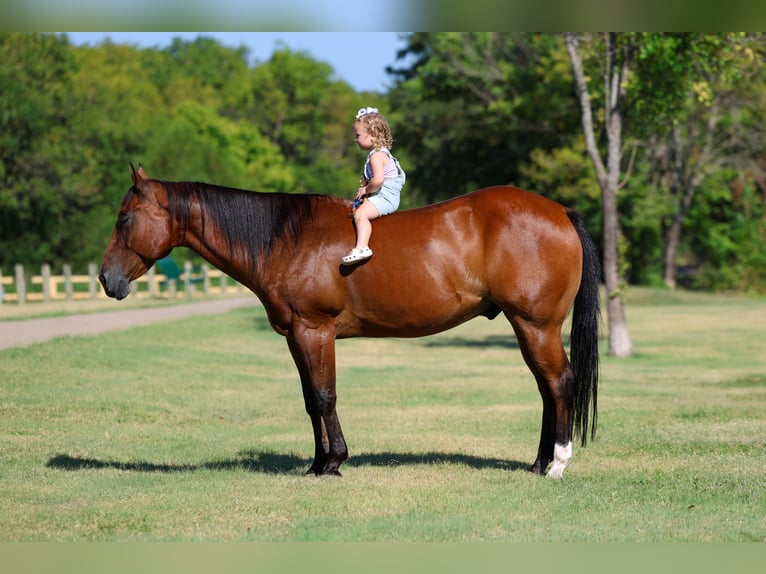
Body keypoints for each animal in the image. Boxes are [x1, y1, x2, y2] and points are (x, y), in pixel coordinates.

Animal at [99, 164, 600, 478]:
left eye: (124, 218)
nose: (106, 279)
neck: (285, 239)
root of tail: (560, 211)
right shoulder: (296, 336)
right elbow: (310, 400)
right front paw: (317, 463)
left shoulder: (315, 331)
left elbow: (325, 396)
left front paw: (334, 463)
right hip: (527, 328)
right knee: (547, 388)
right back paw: (537, 463)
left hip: (536, 326)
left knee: (559, 383)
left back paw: (557, 464)